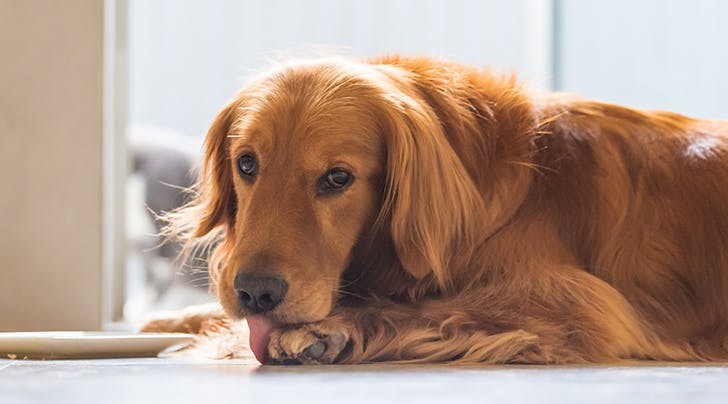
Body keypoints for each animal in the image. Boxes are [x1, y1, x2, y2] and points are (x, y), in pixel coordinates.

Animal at [141, 55, 728, 364]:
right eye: (246, 163)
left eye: (337, 178)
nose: (255, 292)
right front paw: (176, 319)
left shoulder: (580, 301)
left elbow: (435, 306)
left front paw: (326, 329)